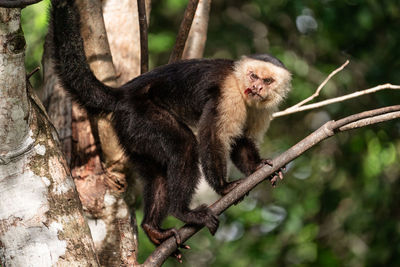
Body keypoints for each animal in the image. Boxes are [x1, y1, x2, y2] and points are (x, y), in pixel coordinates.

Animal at [50, 0, 290, 249]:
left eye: (267, 80)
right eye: (253, 76)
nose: (257, 87)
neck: (242, 89)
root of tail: (125, 93)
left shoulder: (261, 108)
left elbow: (242, 140)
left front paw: (258, 166)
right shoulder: (230, 92)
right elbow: (213, 135)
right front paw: (224, 187)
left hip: (131, 132)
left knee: (157, 172)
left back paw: (152, 227)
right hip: (141, 115)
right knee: (185, 146)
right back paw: (183, 212)